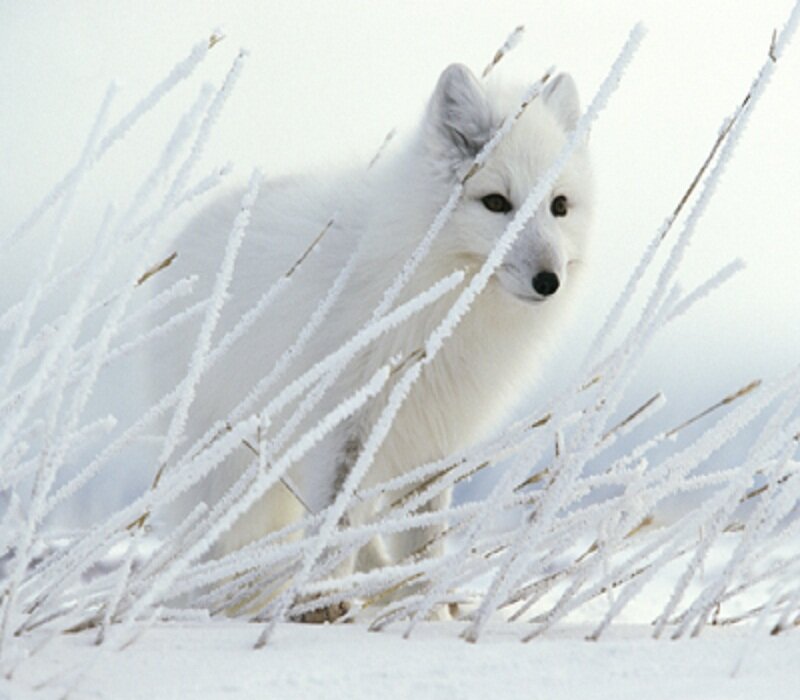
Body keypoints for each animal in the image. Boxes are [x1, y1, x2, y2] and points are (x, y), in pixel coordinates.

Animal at [151, 62, 593, 615]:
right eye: (496, 202)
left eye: (559, 205)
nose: (549, 281)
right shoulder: (342, 429)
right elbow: (333, 526)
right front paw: (323, 601)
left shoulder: (434, 440)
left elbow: (422, 540)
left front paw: (426, 609)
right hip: (227, 466)